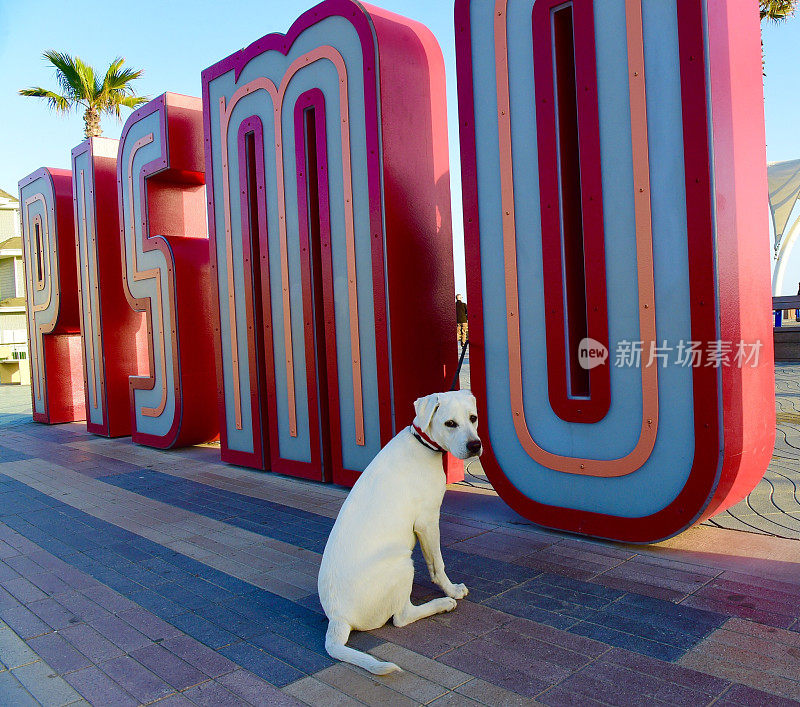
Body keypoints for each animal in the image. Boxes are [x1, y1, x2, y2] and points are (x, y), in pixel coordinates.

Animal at [318, 392, 482, 676]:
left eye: (473, 418)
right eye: (450, 423)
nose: (475, 446)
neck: (422, 444)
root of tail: (338, 618)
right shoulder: (427, 521)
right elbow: (437, 564)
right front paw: (451, 590)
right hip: (403, 564)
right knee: (401, 618)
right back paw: (441, 605)